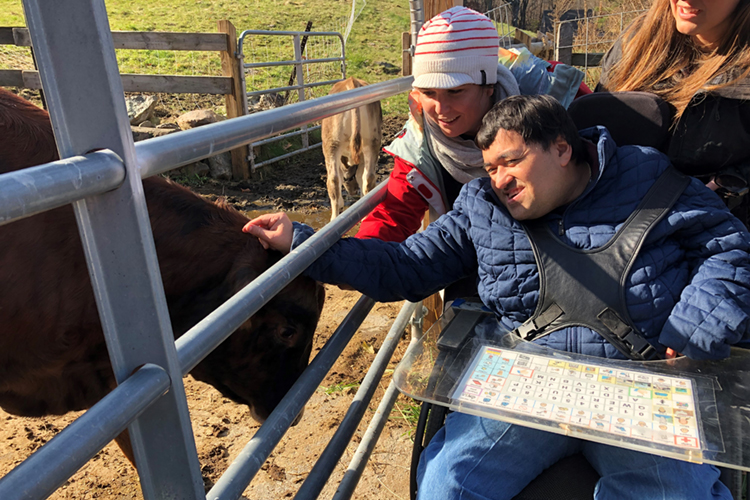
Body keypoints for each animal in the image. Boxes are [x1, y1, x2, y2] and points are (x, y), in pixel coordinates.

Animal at [322, 77, 384, 220]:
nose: (353, 191)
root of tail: (352, 81)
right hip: (372, 142)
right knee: (369, 178)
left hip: (331, 145)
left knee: (333, 180)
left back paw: (335, 217)